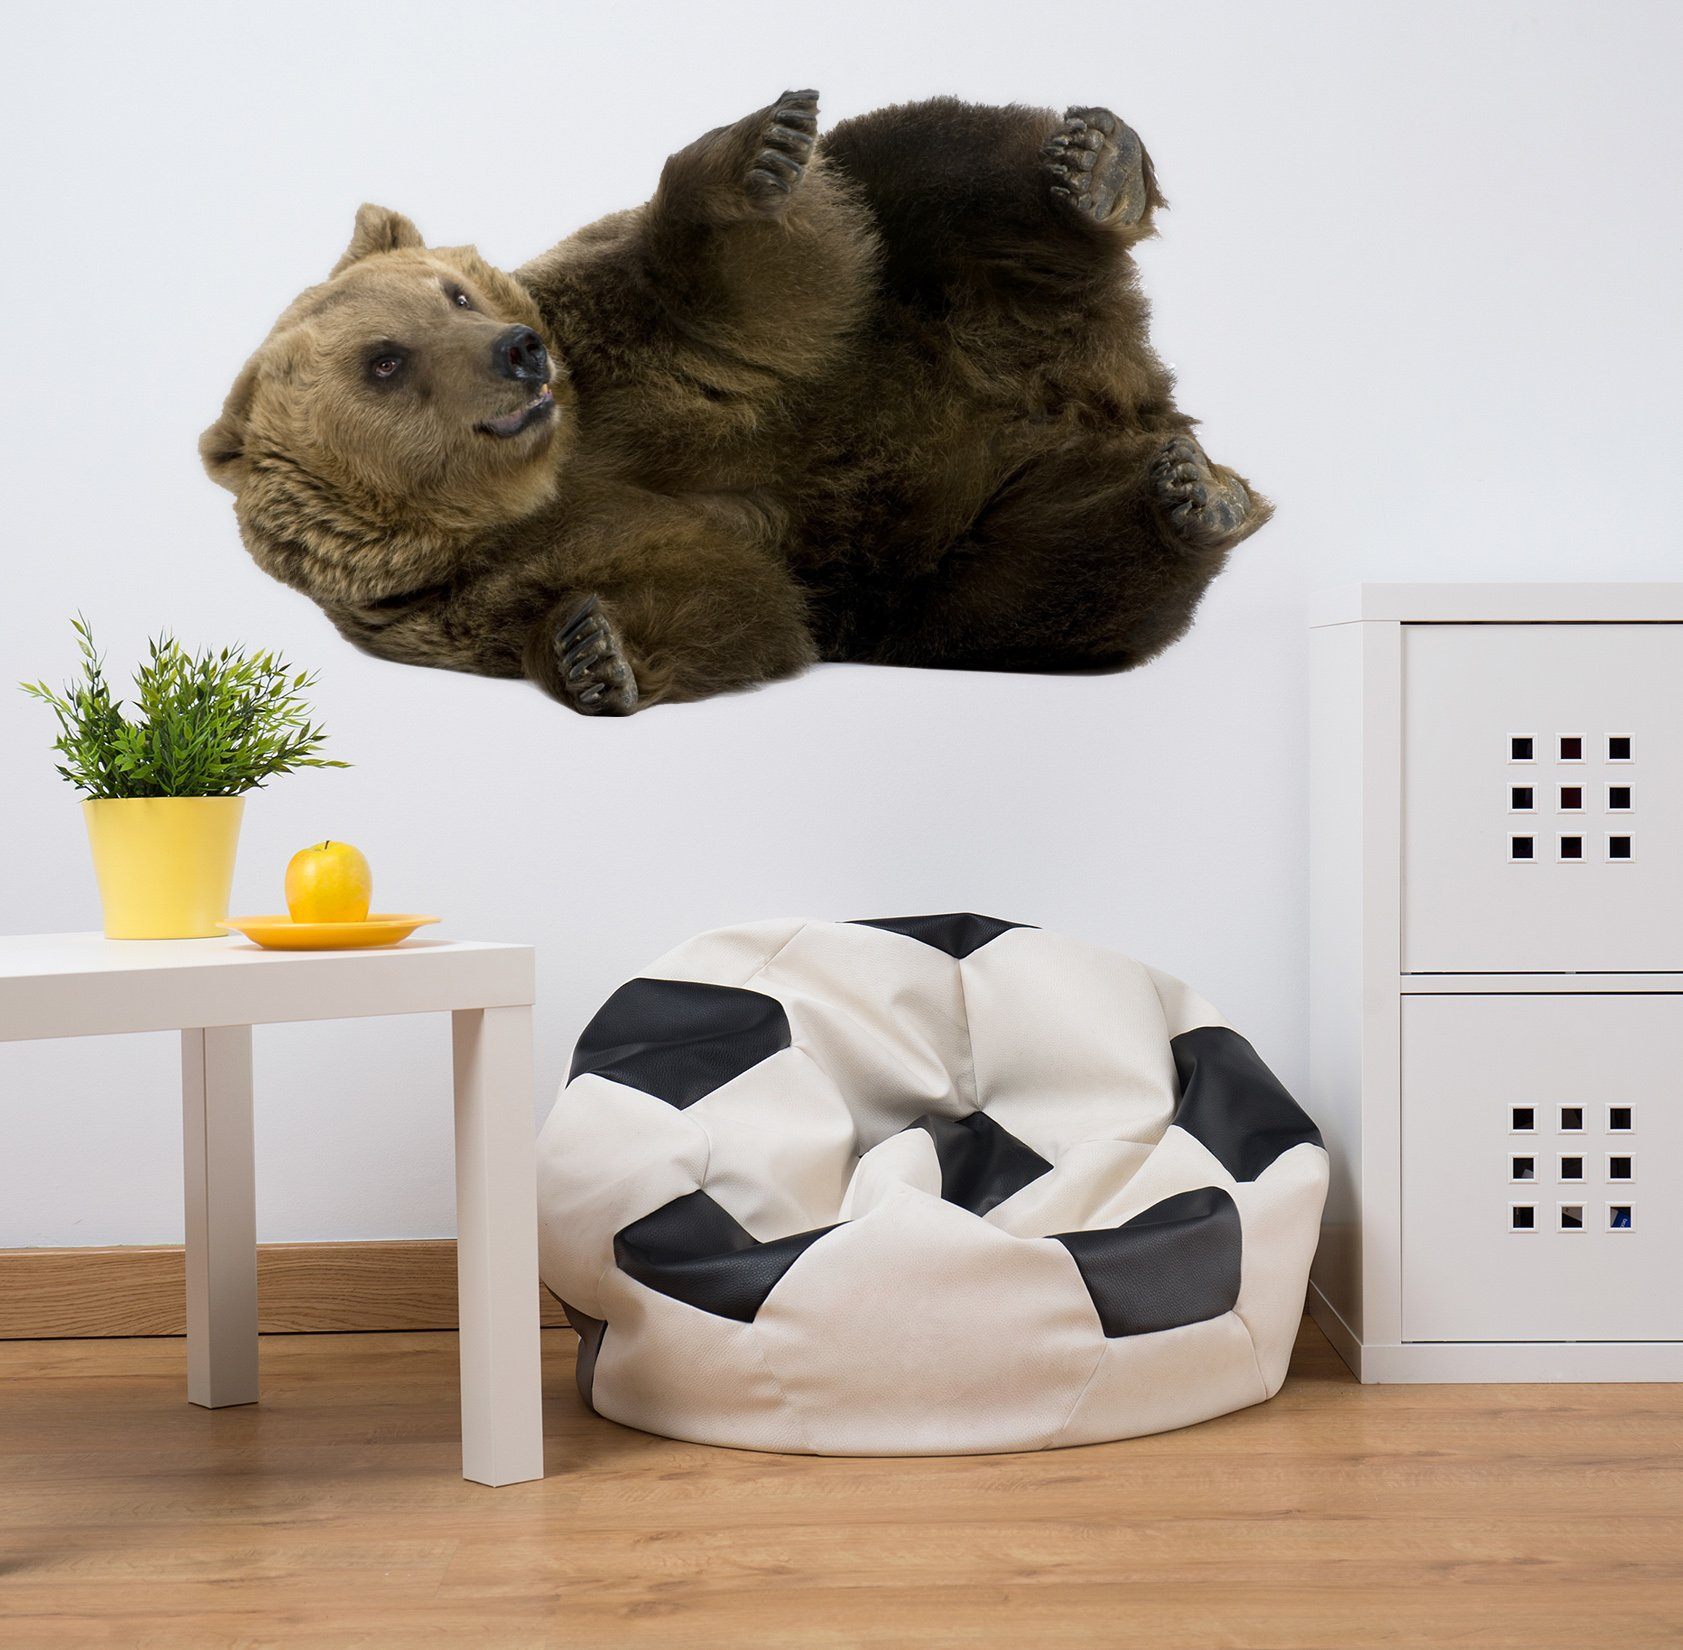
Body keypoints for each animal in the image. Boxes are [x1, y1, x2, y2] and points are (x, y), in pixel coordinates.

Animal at [201, 92, 1270, 715]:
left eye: (455, 293)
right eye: (384, 362)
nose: (515, 353)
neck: (551, 466)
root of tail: (1120, 381)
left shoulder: (604, 330)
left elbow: (739, 285)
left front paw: (757, 151)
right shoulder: (464, 590)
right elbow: (714, 594)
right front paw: (593, 652)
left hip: (936, 264)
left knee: (940, 158)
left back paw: (1094, 168)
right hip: (943, 569)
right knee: (1064, 577)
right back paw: (1188, 501)